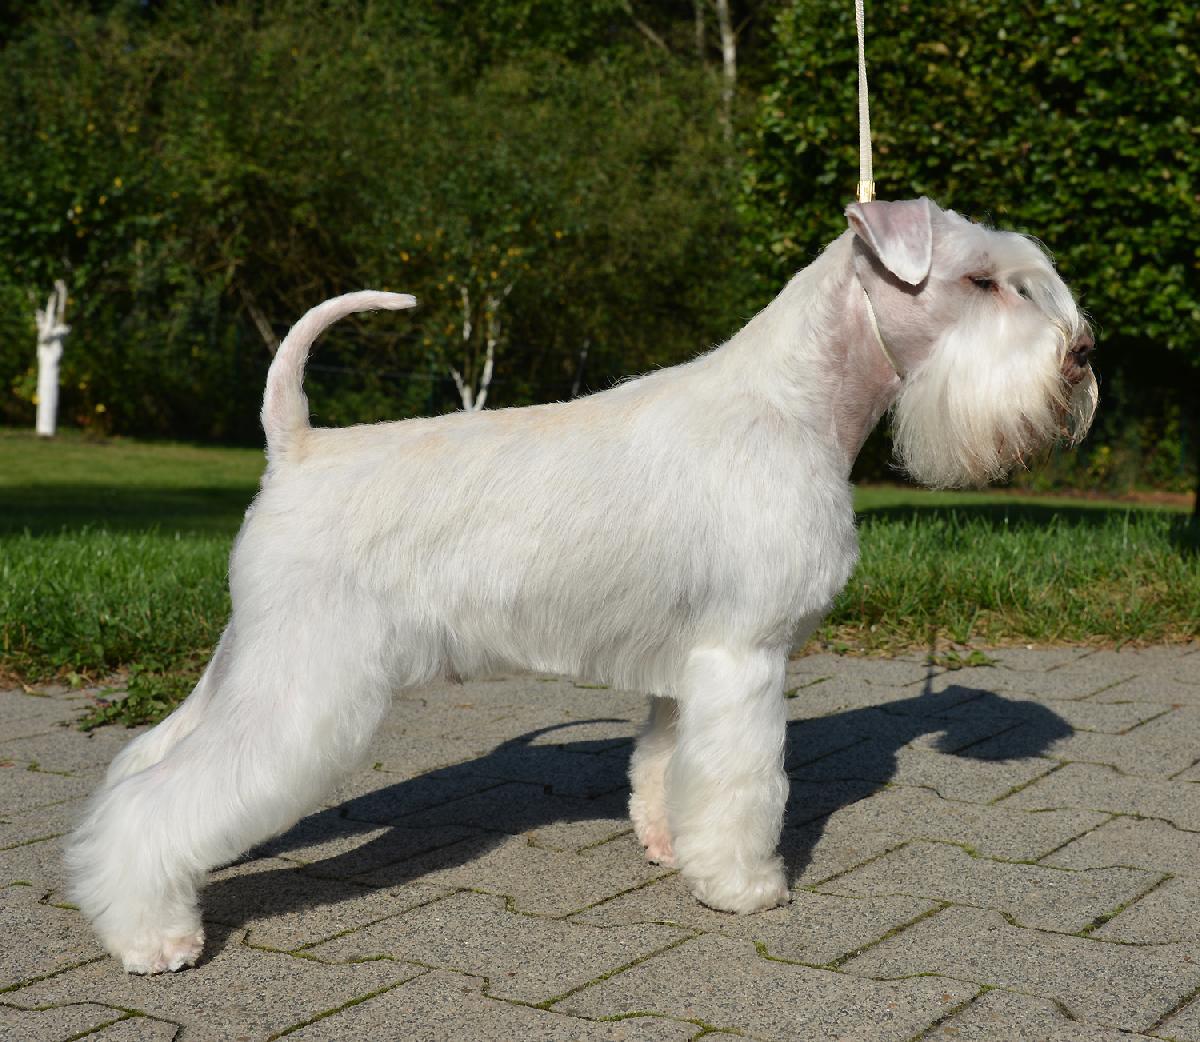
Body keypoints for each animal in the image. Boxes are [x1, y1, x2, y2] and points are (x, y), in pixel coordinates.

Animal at [67, 197, 1097, 973]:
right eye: (980, 281)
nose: (1082, 355)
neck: (794, 405)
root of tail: (296, 446)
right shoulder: (747, 657)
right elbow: (744, 787)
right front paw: (745, 887)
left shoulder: (692, 668)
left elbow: (667, 765)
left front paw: (669, 845)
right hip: (303, 678)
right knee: (170, 799)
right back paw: (156, 937)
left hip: (253, 658)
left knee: (144, 765)